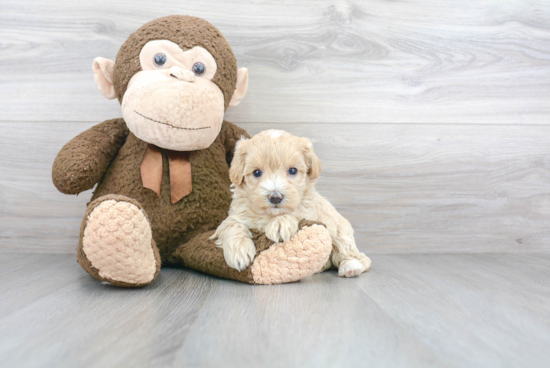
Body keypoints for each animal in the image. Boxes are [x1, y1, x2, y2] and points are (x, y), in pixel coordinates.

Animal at [213, 129, 374, 276]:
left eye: (292, 170)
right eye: (257, 173)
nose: (275, 197)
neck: (270, 214)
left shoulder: (309, 210)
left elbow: (296, 211)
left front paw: (280, 224)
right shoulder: (235, 215)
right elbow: (233, 225)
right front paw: (239, 252)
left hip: (341, 230)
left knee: (351, 253)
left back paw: (351, 266)